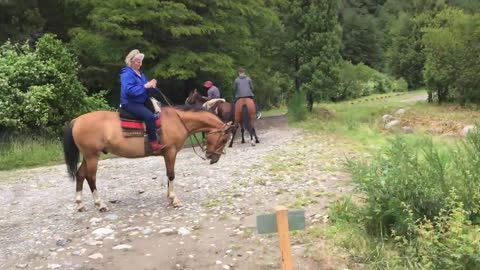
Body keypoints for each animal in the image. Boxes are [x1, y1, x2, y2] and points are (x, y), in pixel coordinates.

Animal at [62, 106, 234, 212]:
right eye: (224, 139)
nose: (213, 158)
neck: (178, 120)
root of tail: (76, 121)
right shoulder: (170, 152)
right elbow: (171, 174)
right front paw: (174, 199)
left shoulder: (167, 154)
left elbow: (168, 174)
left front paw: (169, 197)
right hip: (92, 156)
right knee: (91, 177)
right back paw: (100, 205)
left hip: (88, 156)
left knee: (80, 175)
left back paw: (80, 204)